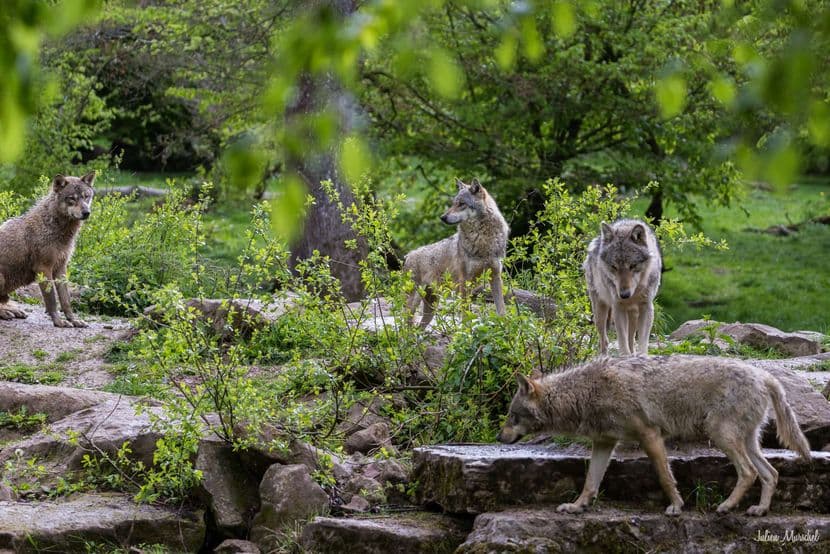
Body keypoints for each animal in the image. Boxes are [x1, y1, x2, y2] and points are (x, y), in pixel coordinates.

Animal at [0, 172, 95, 328]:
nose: (86, 212)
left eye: (86, 196)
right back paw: (6, 312)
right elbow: (51, 301)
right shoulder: (44, 269)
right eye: (72, 198)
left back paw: (13, 311)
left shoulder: (61, 268)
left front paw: (73, 320)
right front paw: (59, 322)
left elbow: (66, 300)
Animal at [404, 178, 509, 328]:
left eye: (461, 204)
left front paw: (505, 327)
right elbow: (465, 314)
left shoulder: (495, 275)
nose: (442, 217)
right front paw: (466, 331)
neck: (482, 240)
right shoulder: (464, 281)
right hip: (414, 301)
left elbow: (501, 309)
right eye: (453, 203)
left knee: (419, 327)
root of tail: (408, 255)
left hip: (431, 307)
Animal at [497, 355, 811, 517]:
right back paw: (760, 510)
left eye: (512, 416)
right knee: (771, 473)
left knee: (749, 472)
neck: (584, 392)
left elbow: (664, 476)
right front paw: (576, 507)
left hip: (721, 436)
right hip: (747, 441)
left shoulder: (650, 435)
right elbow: (590, 482)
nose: (500, 438)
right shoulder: (604, 443)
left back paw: (726, 506)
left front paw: (676, 506)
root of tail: (765, 376)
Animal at [583, 219, 661, 355]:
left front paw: (641, 356)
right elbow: (623, 342)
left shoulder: (646, 307)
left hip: (633, 315)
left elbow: (642, 342)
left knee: (631, 340)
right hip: (600, 311)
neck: (635, 292)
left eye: (632, 265)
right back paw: (603, 357)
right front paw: (625, 357)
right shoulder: (618, 307)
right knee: (604, 341)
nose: (624, 295)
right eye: (614, 267)